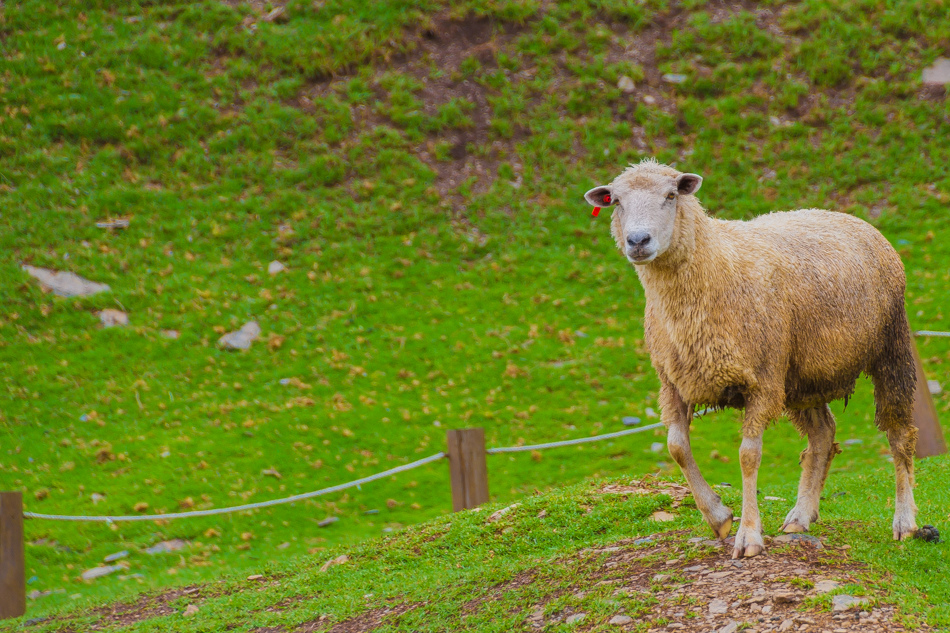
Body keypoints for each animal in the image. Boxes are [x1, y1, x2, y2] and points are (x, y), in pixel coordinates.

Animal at [588, 158, 924, 556]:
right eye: (616, 201)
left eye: (670, 195)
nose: (638, 241)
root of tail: (848, 217)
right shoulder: (672, 382)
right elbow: (677, 448)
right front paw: (718, 516)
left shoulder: (761, 381)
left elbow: (748, 456)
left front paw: (748, 534)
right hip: (800, 376)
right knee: (823, 435)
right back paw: (800, 516)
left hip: (890, 346)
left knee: (899, 433)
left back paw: (904, 521)